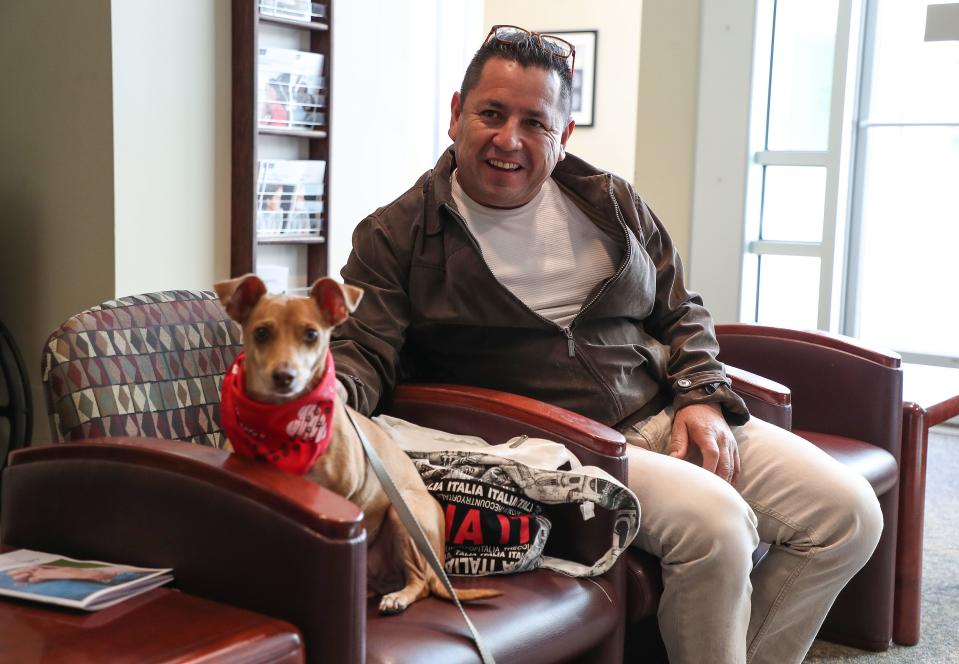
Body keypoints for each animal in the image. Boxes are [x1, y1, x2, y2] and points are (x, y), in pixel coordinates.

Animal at [214, 274, 498, 612]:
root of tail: (439, 566)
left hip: (404, 515)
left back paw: (399, 597)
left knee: (420, 583)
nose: (285, 376)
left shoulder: (344, 496)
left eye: (312, 334)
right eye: (261, 332)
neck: (282, 426)